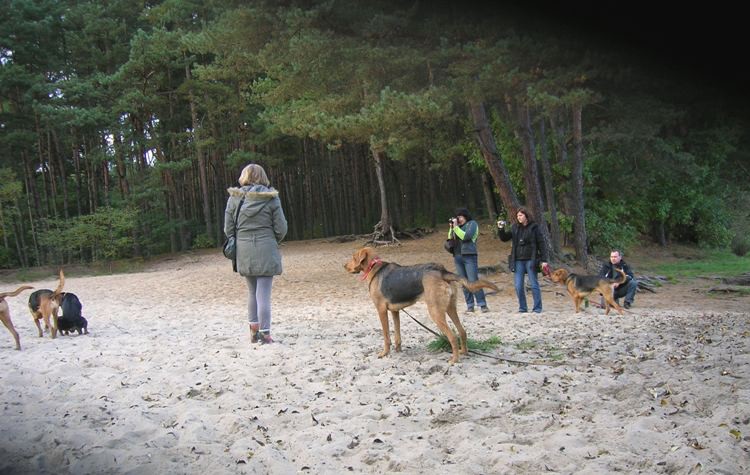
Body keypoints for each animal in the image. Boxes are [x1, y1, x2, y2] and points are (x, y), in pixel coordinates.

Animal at [346, 247, 500, 362]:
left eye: (353, 257)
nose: (344, 266)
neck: (374, 267)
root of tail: (441, 271)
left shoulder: (381, 310)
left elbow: (386, 337)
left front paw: (384, 353)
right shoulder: (395, 311)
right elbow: (397, 335)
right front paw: (398, 350)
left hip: (435, 312)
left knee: (452, 336)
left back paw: (454, 360)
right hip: (450, 308)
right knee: (462, 331)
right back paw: (464, 353)